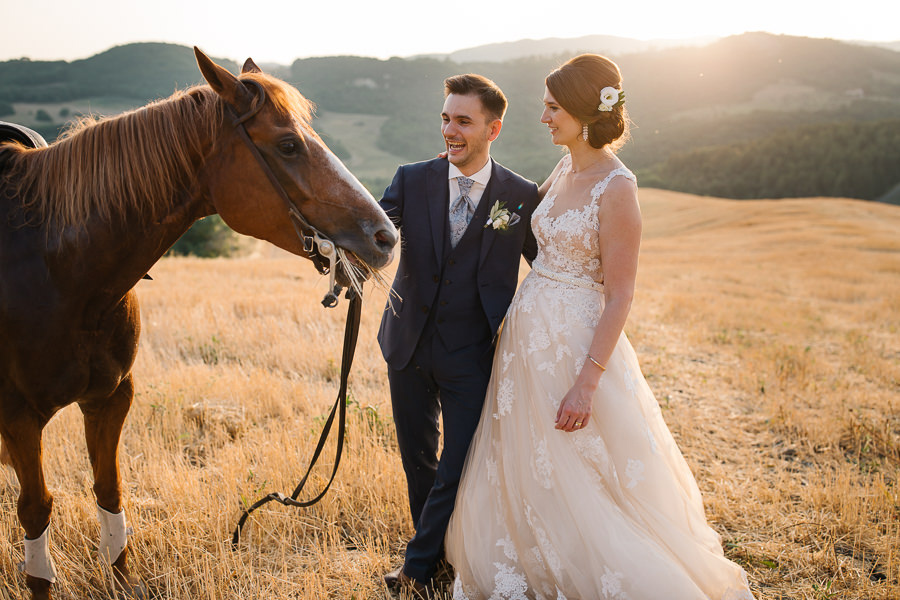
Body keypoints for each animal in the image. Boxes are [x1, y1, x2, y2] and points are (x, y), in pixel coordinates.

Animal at [0, 48, 398, 600]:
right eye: (288, 145)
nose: (385, 236)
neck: (58, 267)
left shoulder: (111, 398)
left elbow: (110, 492)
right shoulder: (18, 419)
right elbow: (36, 513)